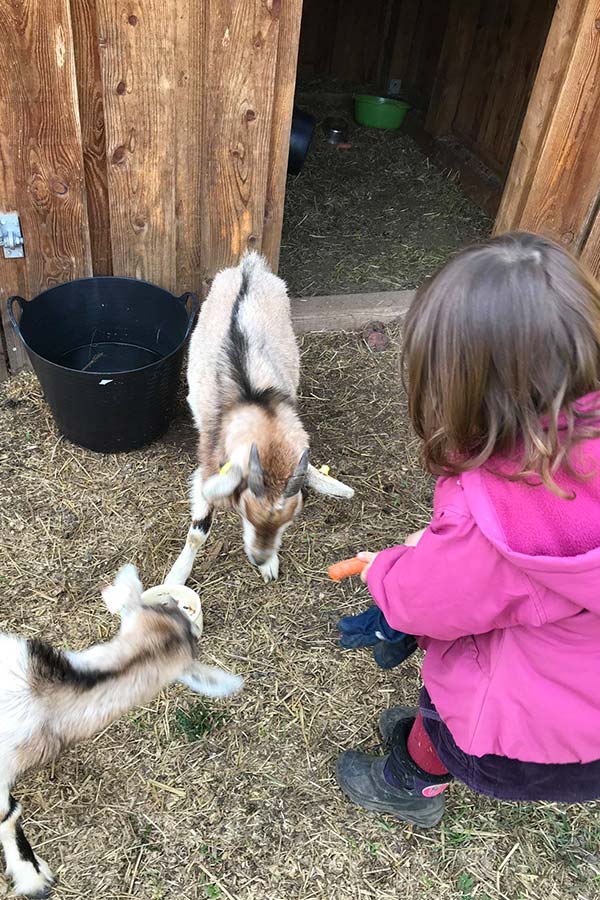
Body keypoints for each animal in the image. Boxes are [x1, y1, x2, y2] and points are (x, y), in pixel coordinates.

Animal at [164, 253, 354, 588]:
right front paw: (176, 578)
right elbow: (198, 531)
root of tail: (249, 267)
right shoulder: (209, 461)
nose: (260, 557)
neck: (255, 400)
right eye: (245, 512)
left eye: (289, 520)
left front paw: (270, 566)